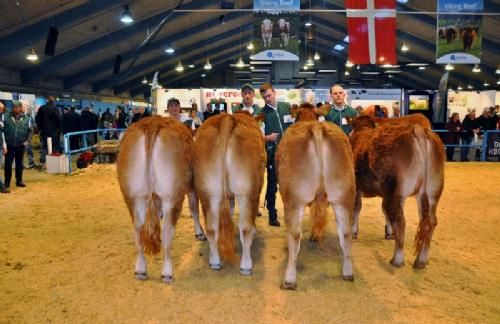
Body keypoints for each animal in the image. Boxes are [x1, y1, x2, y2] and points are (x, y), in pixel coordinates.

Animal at [116, 116, 204, 280]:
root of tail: (152, 123)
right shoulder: (192, 186)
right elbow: (194, 208)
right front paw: (200, 233)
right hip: (172, 195)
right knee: (167, 229)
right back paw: (167, 272)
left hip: (132, 196)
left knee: (138, 228)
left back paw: (140, 269)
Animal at [193, 112, 268, 274]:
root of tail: (227, 119)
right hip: (246, 191)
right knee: (245, 229)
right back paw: (246, 266)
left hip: (208, 191)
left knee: (211, 228)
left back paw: (215, 262)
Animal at [278, 102, 356, 288]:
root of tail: (316, 126)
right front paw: (315, 235)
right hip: (343, 196)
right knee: (346, 233)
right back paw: (348, 272)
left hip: (294, 197)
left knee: (294, 234)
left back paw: (289, 279)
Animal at [350, 117, 444, 270]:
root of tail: (418, 129)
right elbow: (383, 210)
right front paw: (389, 232)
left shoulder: (357, 187)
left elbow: (357, 208)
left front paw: (353, 231)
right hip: (431, 193)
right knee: (430, 222)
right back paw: (421, 260)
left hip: (395, 190)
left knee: (400, 221)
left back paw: (397, 259)